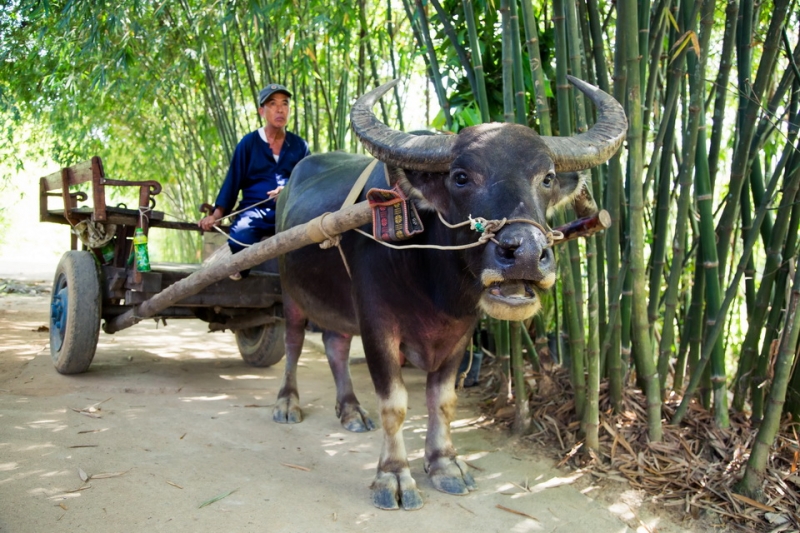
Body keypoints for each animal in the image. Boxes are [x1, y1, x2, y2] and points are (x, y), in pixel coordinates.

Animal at [274, 77, 624, 510]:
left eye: (547, 177)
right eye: (460, 176)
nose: (526, 254)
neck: (432, 283)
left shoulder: (461, 331)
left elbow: (442, 400)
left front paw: (444, 464)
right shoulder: (376, 324)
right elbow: (394, 403)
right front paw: (394, 476)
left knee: (335, 345)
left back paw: (351, 411)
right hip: (289, 292)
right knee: (292, 342)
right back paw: (287, 402)